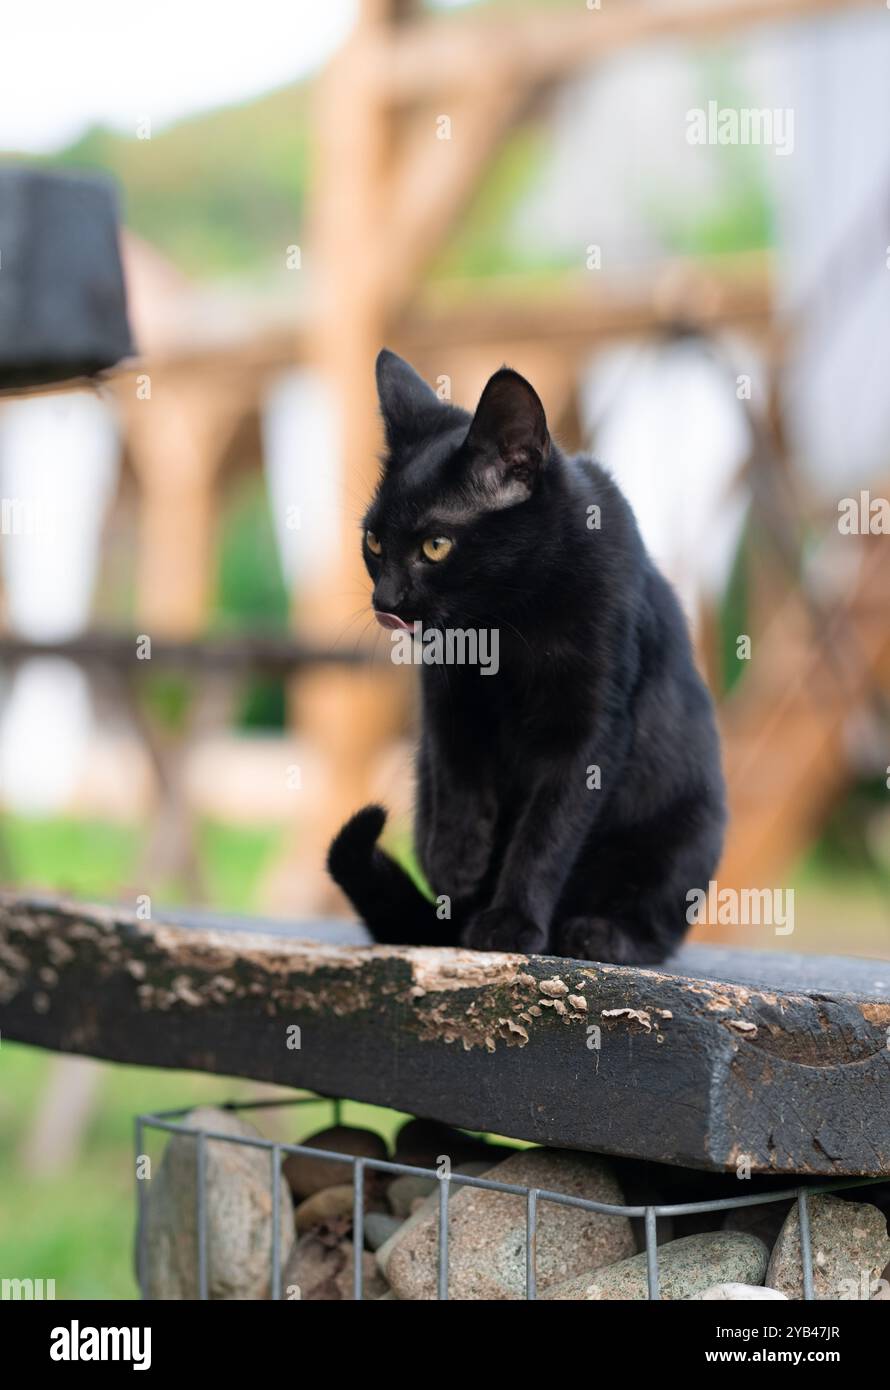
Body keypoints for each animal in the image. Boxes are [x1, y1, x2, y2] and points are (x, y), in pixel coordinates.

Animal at [326, 347, 723, 961]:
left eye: (435, 546)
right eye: (372, 542)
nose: (384, 601)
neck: (509, 624)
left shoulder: (592, 726)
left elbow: (547, 829)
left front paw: (511, 921)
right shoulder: (447, 693)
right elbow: (459, 769)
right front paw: (456, 861)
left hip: (689, 830)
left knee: (656, 922)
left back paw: (599, 934)